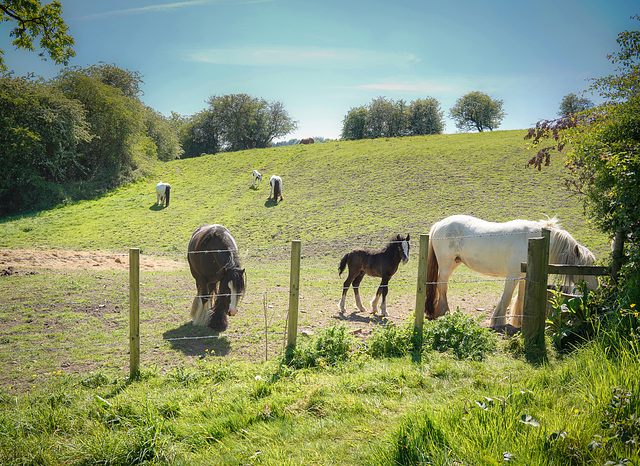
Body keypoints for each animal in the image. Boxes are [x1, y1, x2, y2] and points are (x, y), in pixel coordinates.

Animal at [424, 216, 600, 330]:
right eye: (586, 268)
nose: (596, 290)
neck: (534, 240)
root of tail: (439, 224)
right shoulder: (513, 275)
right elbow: (507, 298)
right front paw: (498, 322)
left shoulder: (524, 276)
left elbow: (521, 298)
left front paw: (519, 321)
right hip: (446, 264)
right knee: (442, 287)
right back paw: (445, 313)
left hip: (454, 263)